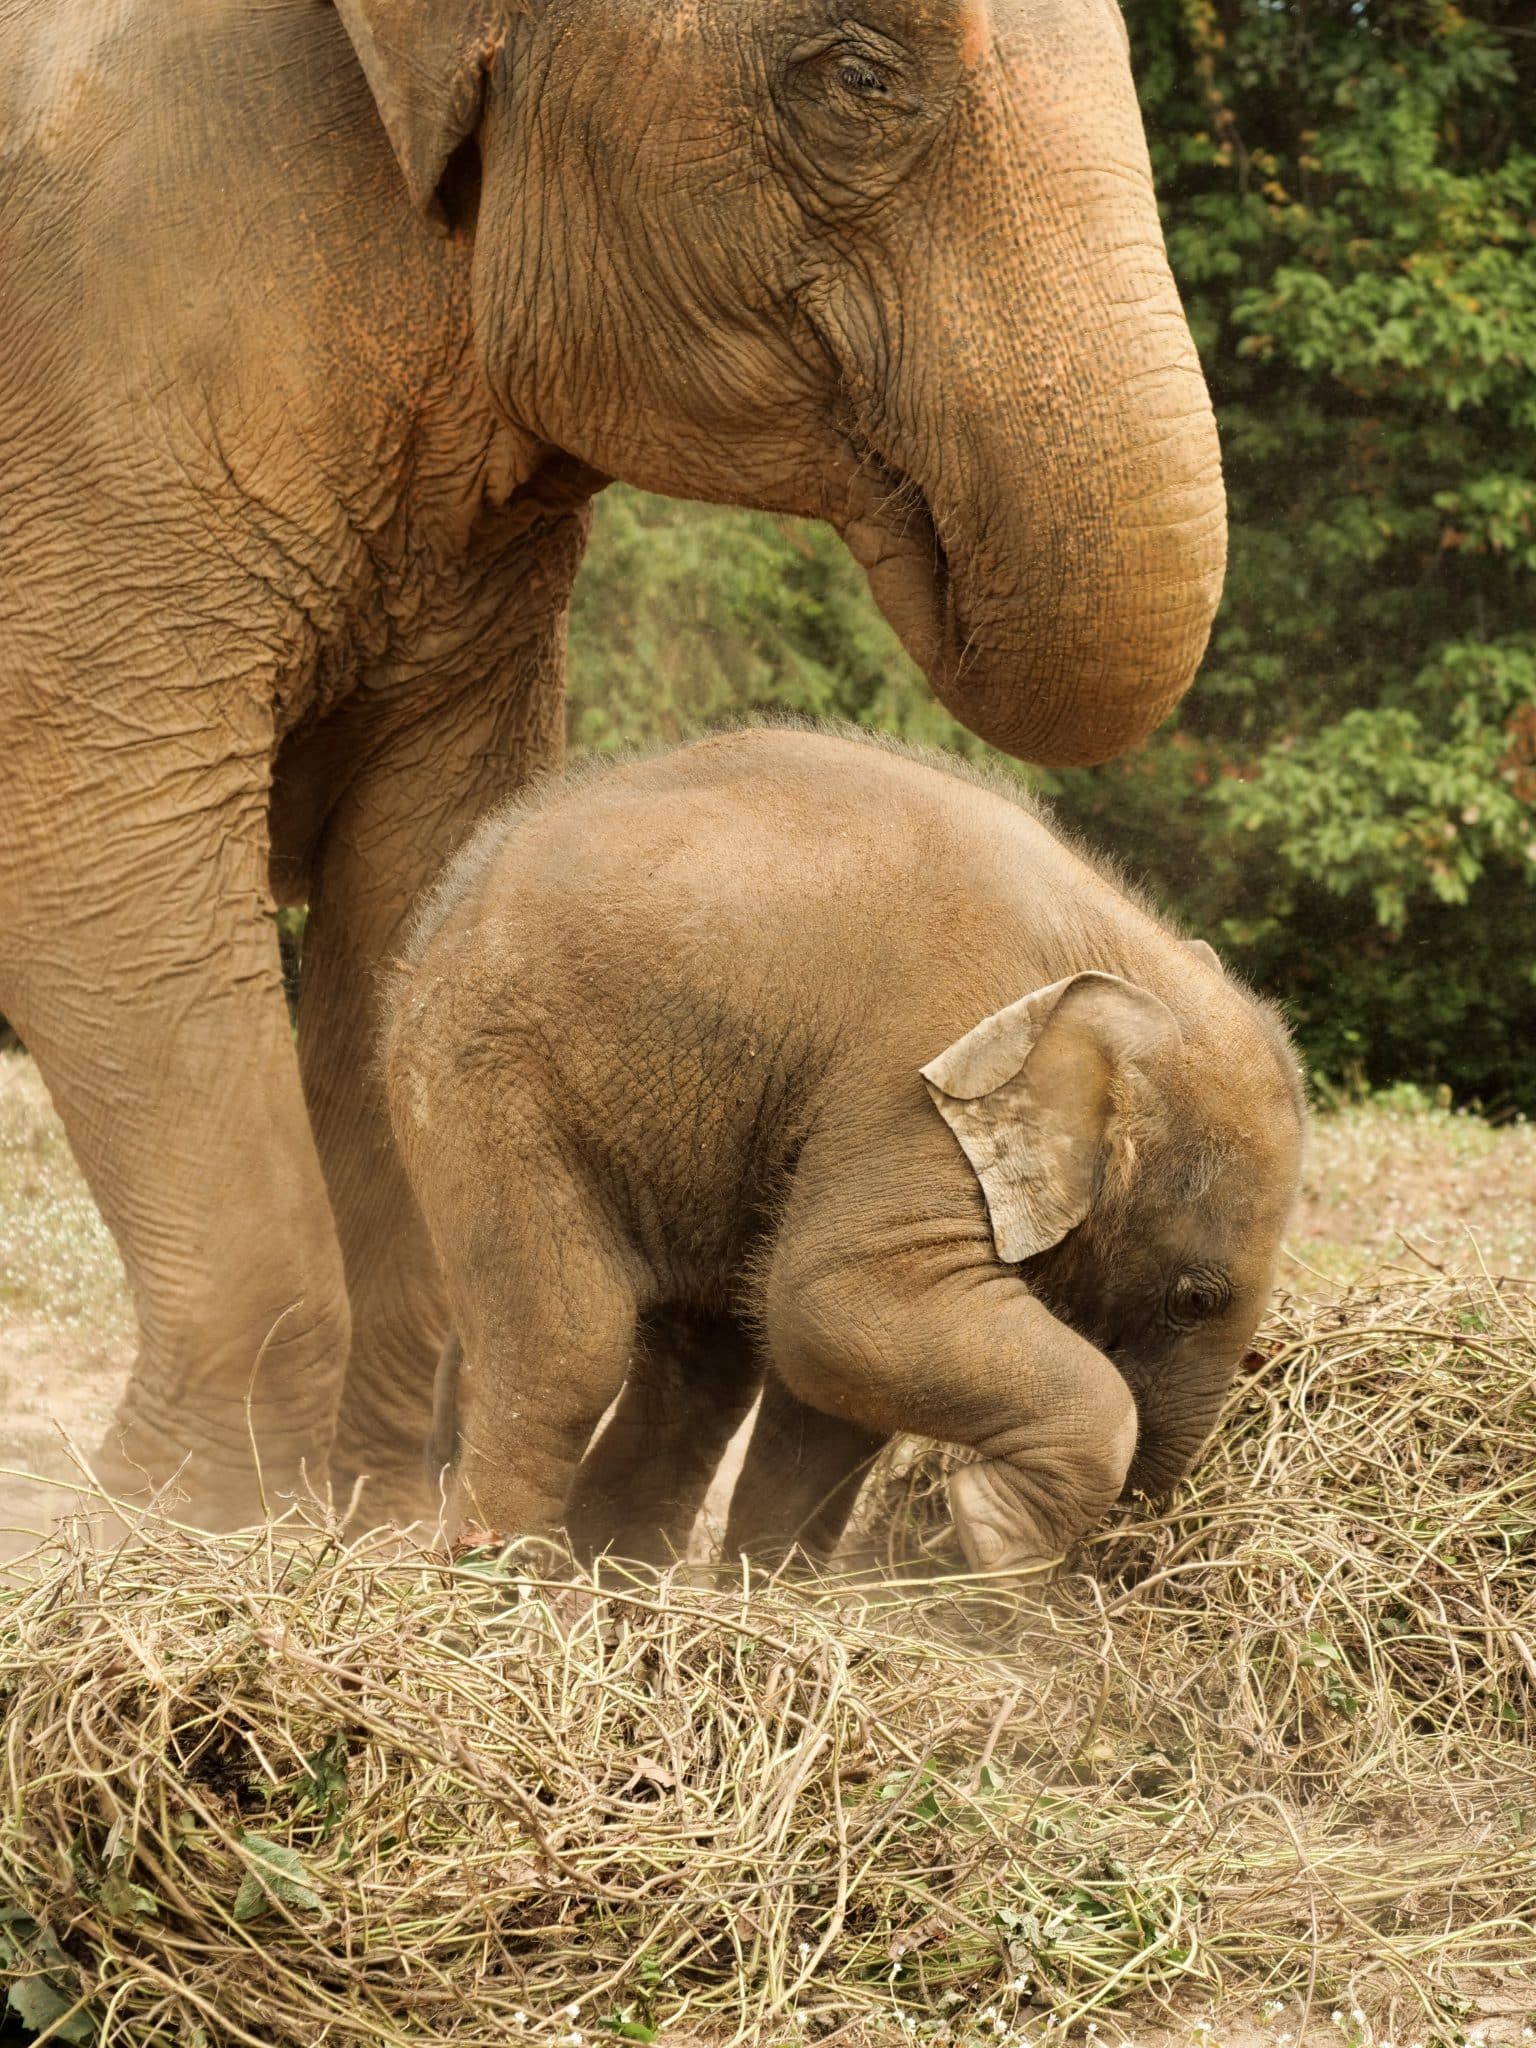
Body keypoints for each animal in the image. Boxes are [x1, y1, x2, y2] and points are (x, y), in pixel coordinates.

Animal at [0, 0, 1228, 1523]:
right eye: (859, 78)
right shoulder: (102, 341)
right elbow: (98, 842)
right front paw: (171, 1529)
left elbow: (419, 864)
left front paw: (365, 1521)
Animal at [387, 729, 1310, 1572]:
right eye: (1193, 1299)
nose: (1123, 1552)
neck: (1120, 957)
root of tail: (437, 920)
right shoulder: (911, 1075)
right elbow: (836, 1299)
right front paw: (990, 1533)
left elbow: (833, 1384)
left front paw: (781, 1593)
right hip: (489, 1074)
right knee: (569, 1347)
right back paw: (519, 1597)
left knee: (702, 1374)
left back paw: (622, 1594)